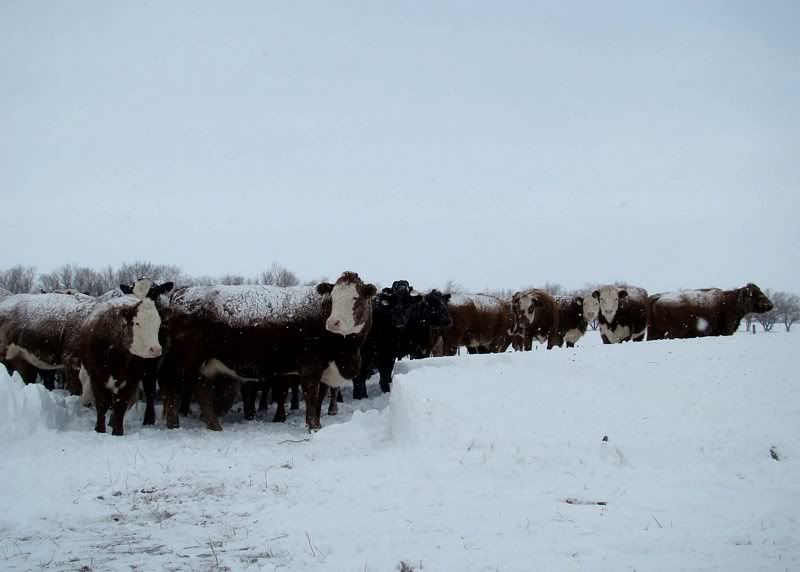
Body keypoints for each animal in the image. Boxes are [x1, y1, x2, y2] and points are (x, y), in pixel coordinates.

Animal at [159, 271, 376, 431]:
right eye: (333, 299)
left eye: (356, 299)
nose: (333, 322)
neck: (346, 352)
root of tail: (183, 292)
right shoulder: (311, 366)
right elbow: (311, 395)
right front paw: (313, 426)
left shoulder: (325, 369)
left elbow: (319, 398)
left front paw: (317, 423)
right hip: (183, 359)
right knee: (174, 386)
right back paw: (173, 424)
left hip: (204, 362)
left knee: (201, 387)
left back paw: (214, 425)